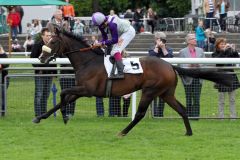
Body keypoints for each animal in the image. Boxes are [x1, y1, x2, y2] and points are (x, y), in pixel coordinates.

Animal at [32, 24, 233, 136]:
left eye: (53, 42)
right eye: (46, 40)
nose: (41, 57)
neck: (88, 61)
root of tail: (170, 66)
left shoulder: (87, 90)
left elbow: (63, 94)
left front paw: (64, 117)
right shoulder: (81, 89)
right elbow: (62, 100)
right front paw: (40, 117)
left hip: (150, 91)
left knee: (140, 114)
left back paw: (122, 132)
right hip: (166, 93)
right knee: (182, 109)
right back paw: (189, 132)